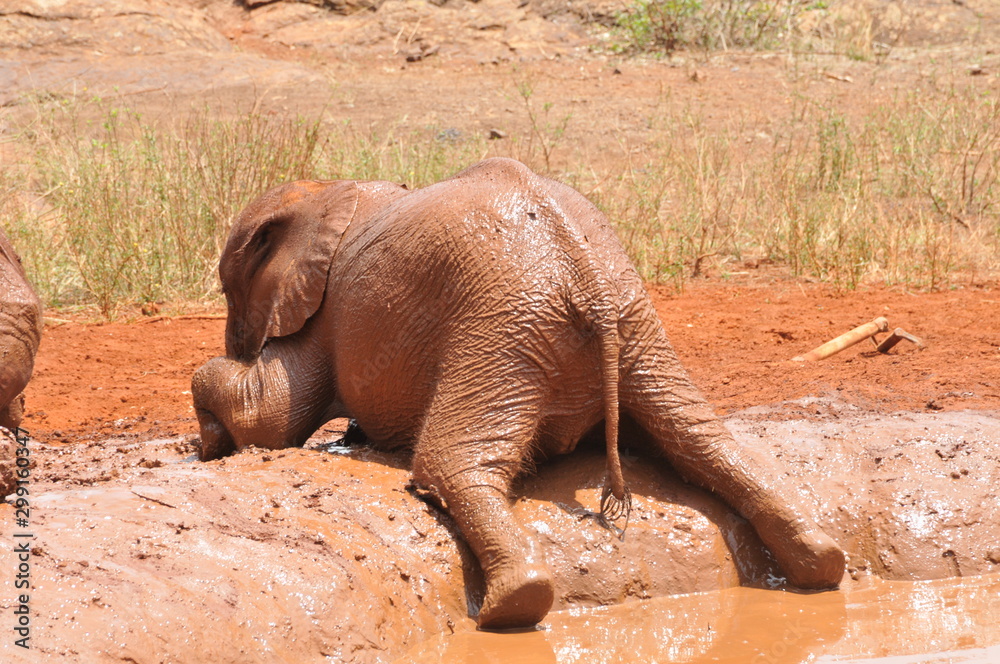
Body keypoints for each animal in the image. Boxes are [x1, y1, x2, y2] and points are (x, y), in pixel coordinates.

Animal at [192, 158, 845, 629]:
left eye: (227, 287)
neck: (326, 189)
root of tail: (588, 280)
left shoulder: (327, 312)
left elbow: (266, 416)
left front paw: (210, 443)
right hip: (635, 325)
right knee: (703, 438)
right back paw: (822, 562)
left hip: (502, 326)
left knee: (448, 463)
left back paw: (514, 606)